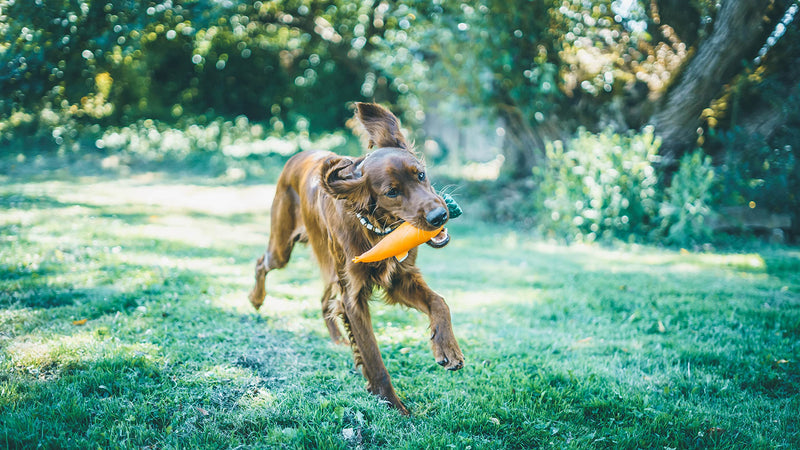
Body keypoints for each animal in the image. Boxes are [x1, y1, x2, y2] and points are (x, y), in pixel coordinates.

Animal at [247, 102, 466, 414]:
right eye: (392, 192)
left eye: (421, 175)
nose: (440, 216)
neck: (376, 230)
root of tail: (298, 154)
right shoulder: (353, 296)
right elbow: (373, 357)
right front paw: (394, 406)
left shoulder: (399, 278)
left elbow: (440, 302)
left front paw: (447, 348)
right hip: (284, 247)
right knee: (262, 264)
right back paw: (256, 299)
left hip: (330, 266)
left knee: (324, 299)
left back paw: (337, 340)